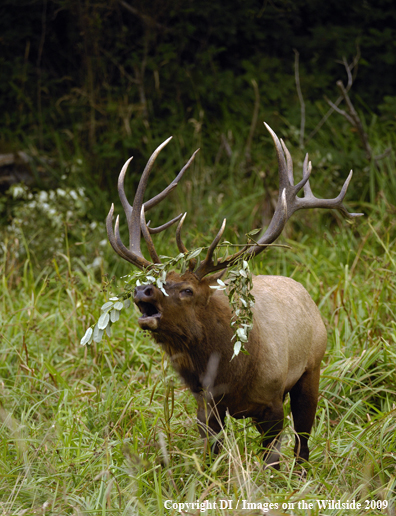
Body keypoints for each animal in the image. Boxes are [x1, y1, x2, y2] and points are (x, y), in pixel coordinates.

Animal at [106, 124, 362, 464]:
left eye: (187, 290)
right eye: (153, 279)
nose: (142, 290)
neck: (230, 372)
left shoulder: (272, 401)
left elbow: (273, 459)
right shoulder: (207, 404)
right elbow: (212, 455)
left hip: (313, 368)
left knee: (303, 443)